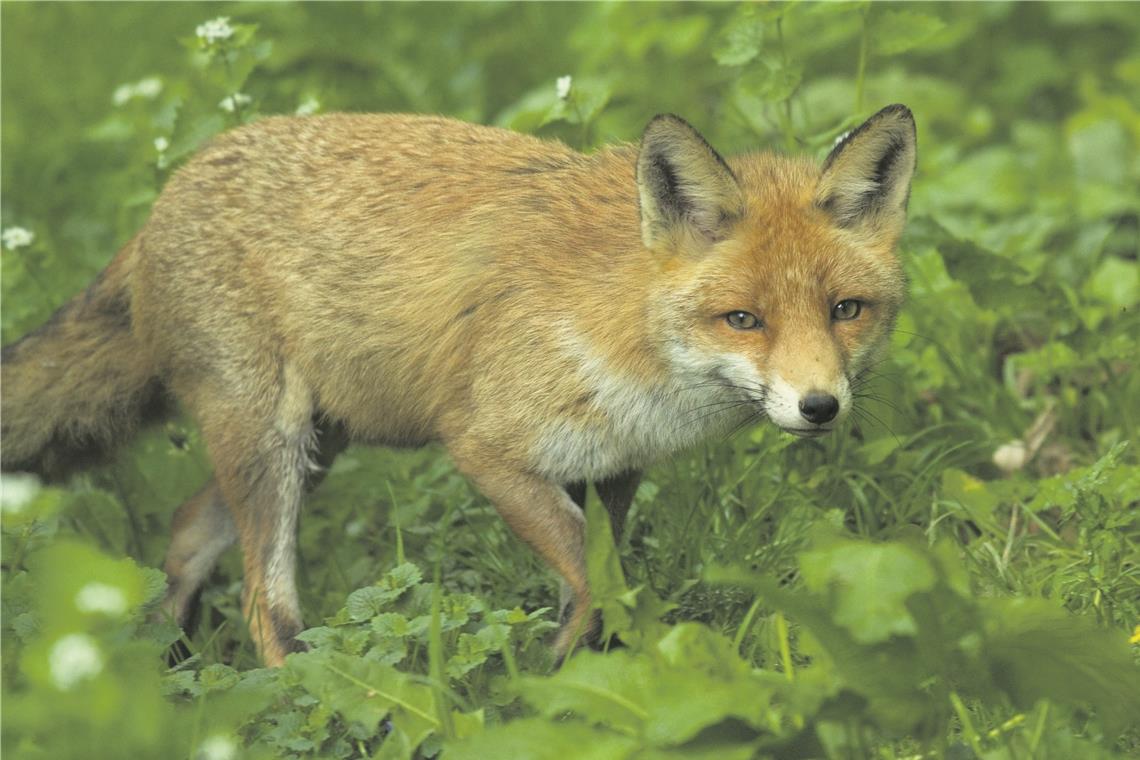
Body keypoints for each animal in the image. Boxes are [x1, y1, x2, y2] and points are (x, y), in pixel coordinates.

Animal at [0, 105, 912, 665]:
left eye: (845, 310)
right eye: (744, 320)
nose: (821, 406)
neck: (625, 329)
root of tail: (164, 199)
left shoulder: (612, 469)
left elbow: (598, 586)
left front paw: (572, 673)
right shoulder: (488, 452)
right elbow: (599, 580)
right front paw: (553, 676)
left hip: (313, 450)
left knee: (187, 534)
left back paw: (170, 673)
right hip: (273, 449)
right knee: (264, 601)